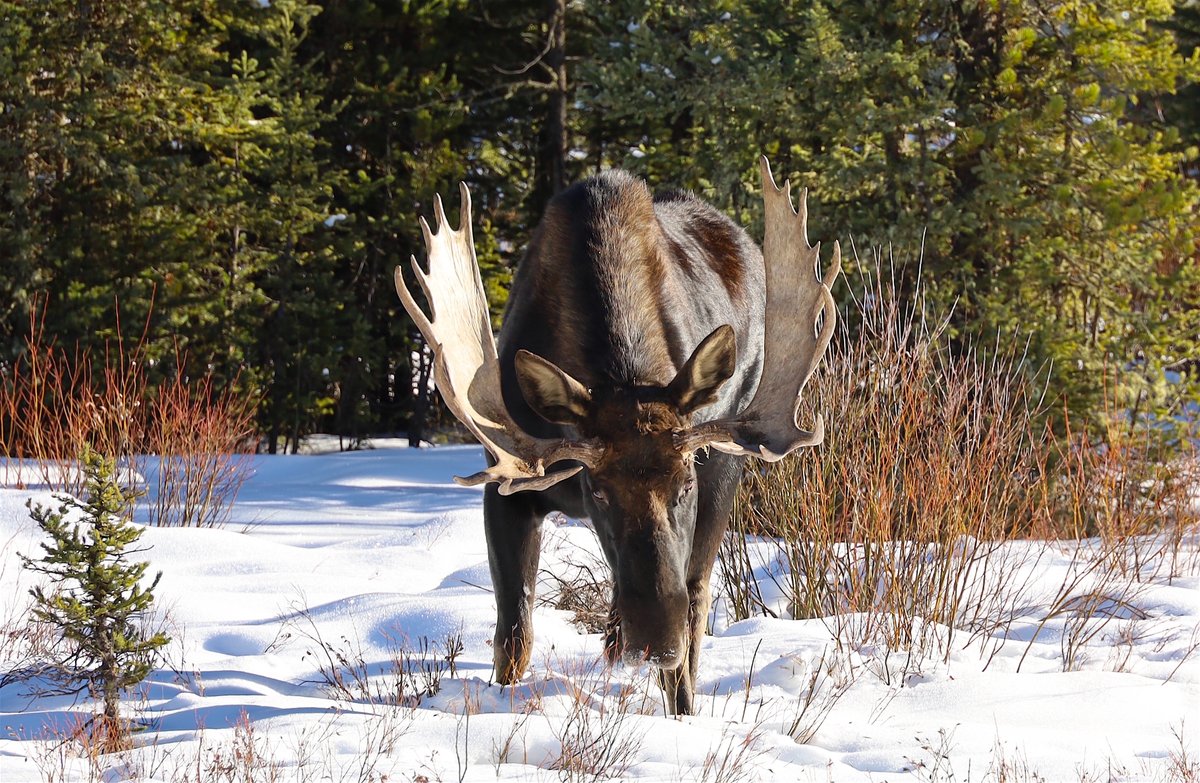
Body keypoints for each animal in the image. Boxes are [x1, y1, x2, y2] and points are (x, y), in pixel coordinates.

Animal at [393, 158, 835, 715]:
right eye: (598, 492)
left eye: (684, 484)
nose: (655, 641)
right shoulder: (506, 482)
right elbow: (513, 636)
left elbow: (686, 635)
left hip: (731, 458)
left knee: (698, 597)